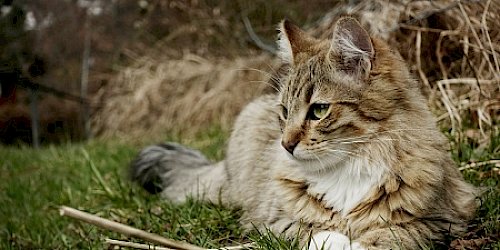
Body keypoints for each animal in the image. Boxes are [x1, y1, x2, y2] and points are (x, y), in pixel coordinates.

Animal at [131, 16, 478, 249]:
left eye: (319, 111)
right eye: (285, 111)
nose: (286, 145)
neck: (353, 162)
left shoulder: (439, 219)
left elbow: (386, 236)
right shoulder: (274, 220)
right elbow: (318, 232)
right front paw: (337, 240)